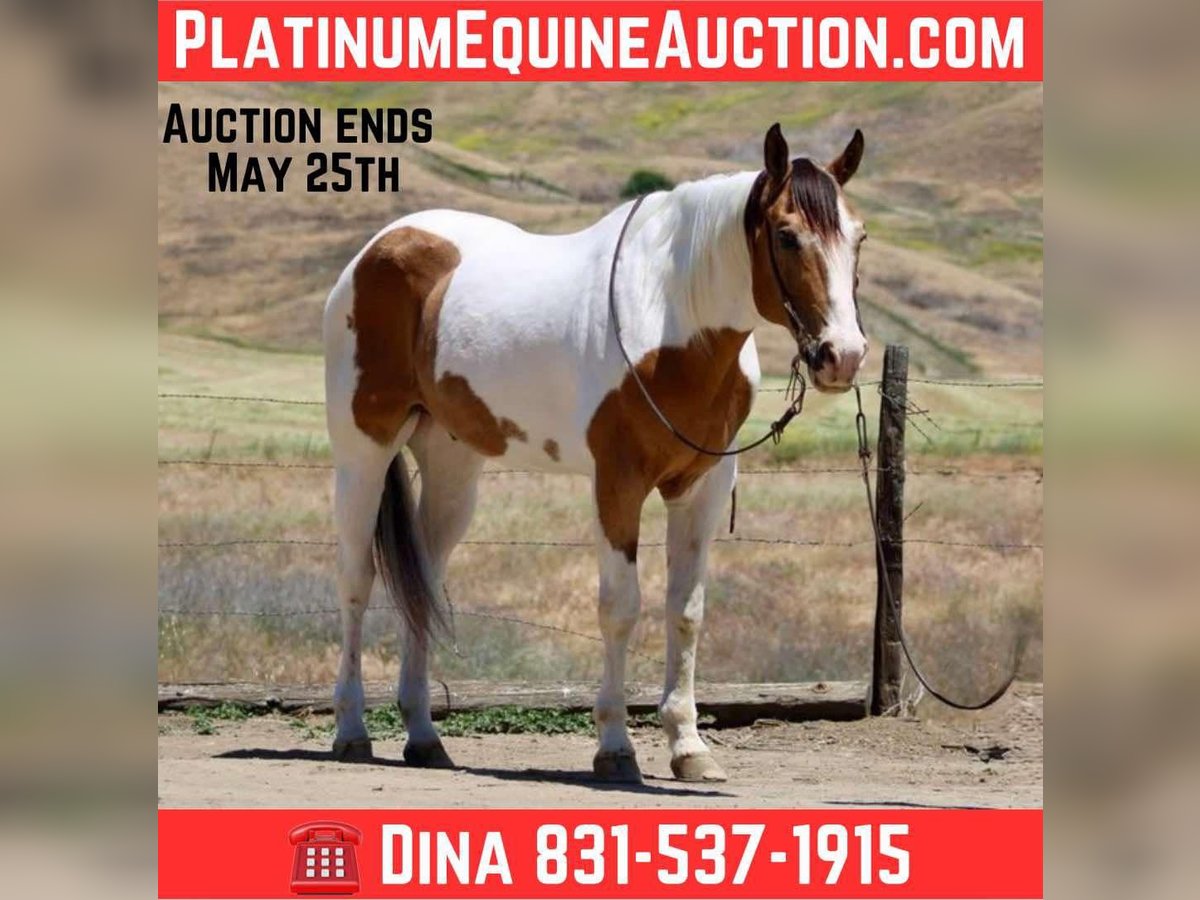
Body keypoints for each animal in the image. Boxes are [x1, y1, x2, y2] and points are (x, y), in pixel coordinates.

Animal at [322, 124, 869, 783]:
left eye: (859, 237)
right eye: (787, 236)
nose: (843, 356)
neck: (671, 316)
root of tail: (374, 251)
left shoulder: (702, 487)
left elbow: (686, 611)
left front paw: (689, 747)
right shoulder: (618, 483)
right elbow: (621, 608)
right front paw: (615, 746)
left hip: (452, 466)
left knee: (423, 580)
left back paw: (425, 737)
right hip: (363, 452)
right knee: (355, 579)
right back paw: (351, 730)